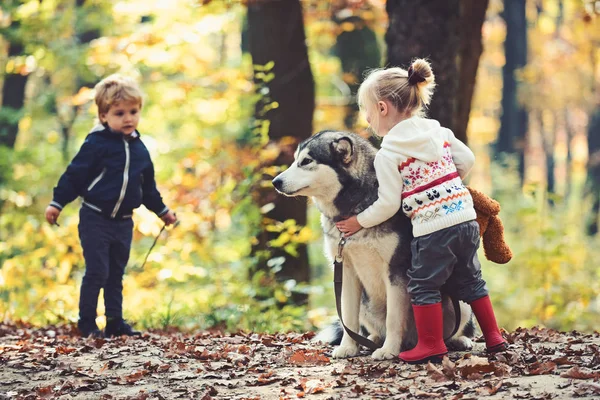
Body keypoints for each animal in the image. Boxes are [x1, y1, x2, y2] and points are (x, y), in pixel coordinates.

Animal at [274, 130, 476, 360]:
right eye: (294, 160)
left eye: (306, 161)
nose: (275, 182)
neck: (355, 207)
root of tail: (411, 341)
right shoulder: (346, 271)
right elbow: (348, 319)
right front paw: (348, 347)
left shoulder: (395, 272)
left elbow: (393, 319)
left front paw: (389, 350)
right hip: (365, 303)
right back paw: (374, 339)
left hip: (461, 304)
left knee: (452, 330)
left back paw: (457, 340)